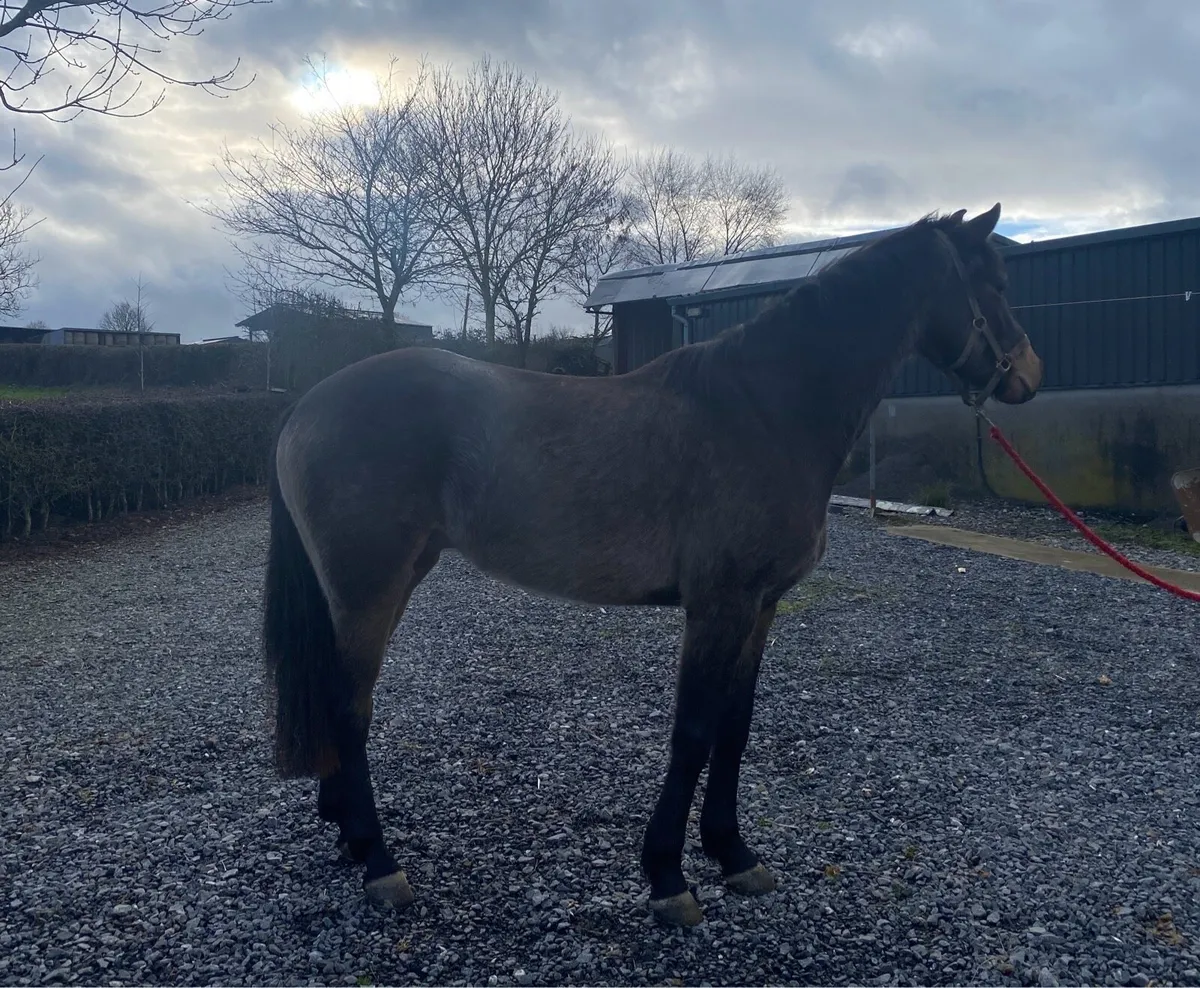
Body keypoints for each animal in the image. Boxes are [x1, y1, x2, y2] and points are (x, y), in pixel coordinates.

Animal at [262, 203, 1044, 927]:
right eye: (998, 284)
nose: (1030, 375)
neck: (767, 408)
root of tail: (306, 405)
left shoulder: (761, 605)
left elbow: (735, 724)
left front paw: (735, 854)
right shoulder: (719, 604)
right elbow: (693, 731)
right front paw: (668, 876)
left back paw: (348, 836)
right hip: (369, 587)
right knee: (349, 708)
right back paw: (379, 862)